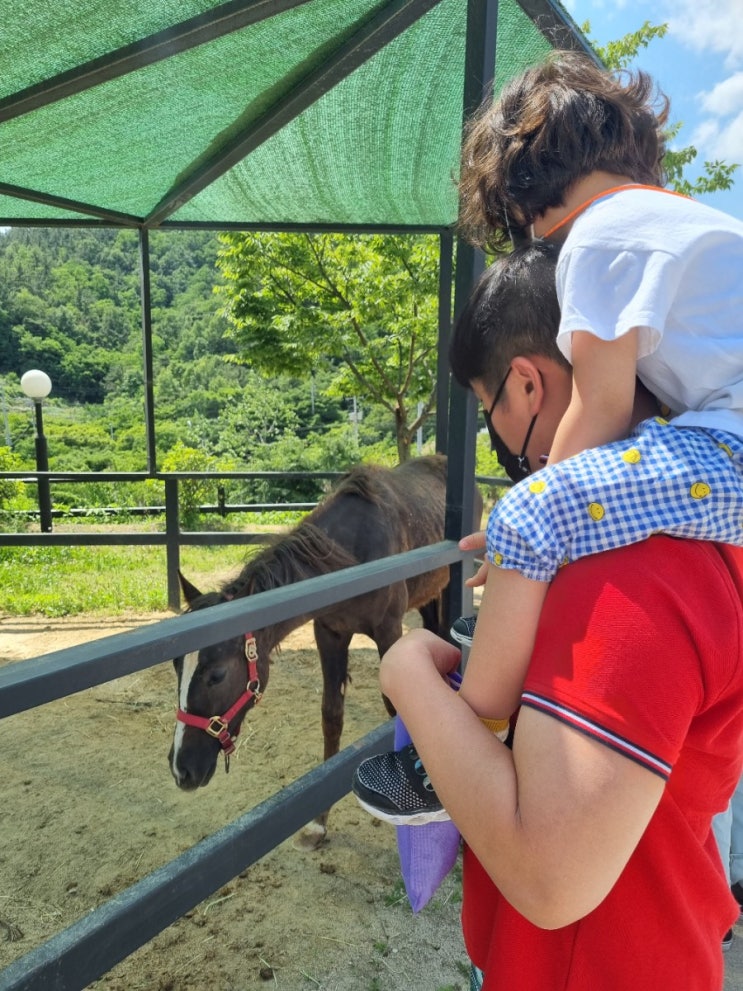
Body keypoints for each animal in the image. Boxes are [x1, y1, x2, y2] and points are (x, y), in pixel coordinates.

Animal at [169, 458, 482, 844]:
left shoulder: (389, 631)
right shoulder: (329, 634)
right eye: (175, 666)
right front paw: (320, 822)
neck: (352, 558)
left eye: (217, 675)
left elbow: (395, 708)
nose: (181, 769)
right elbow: (331, 716)